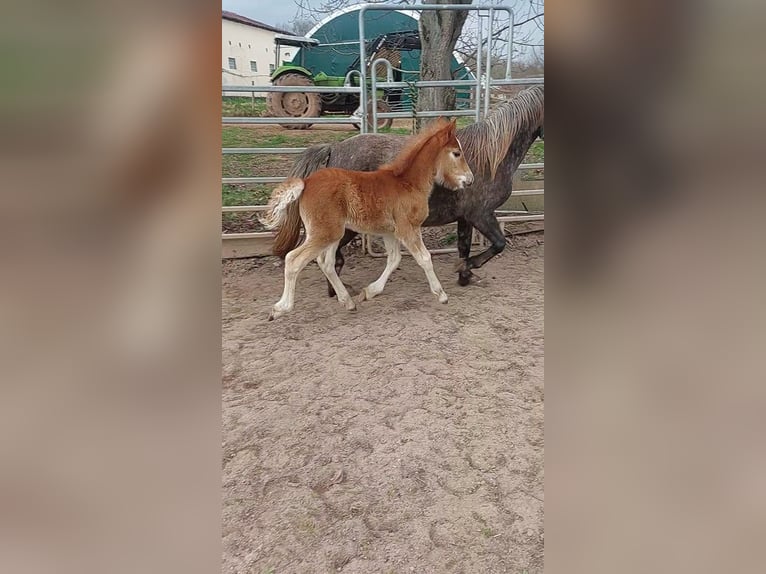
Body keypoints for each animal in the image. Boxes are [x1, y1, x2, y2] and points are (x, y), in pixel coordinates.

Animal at [260, 119, 472, 322]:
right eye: (456, 153)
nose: (470, 179)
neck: (407, 183)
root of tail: (306, 183)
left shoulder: (390, 232)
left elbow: (394, 259)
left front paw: (370, 291)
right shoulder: (408, 228)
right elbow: (425, 258)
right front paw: (441, 295)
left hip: (333, 233)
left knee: (326, 263)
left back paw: (348, 302)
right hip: (325, 233)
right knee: (293, 259)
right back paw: (280, 309)